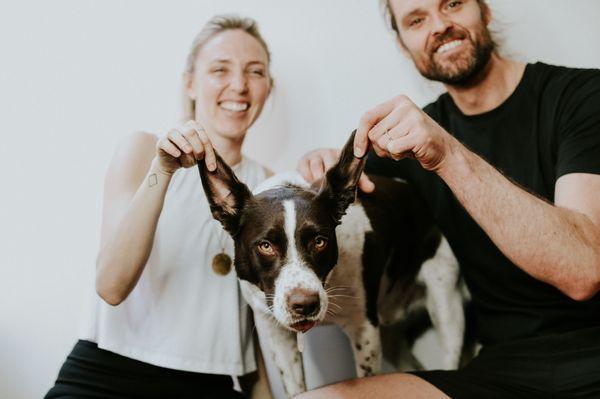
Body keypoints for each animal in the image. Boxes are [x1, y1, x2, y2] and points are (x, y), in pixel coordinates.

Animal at [199, 134, 466, 396]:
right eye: (265, 246)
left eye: (320, 241)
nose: (305, 304)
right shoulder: (277, 335)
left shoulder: (365, 331)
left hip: (445, 305)